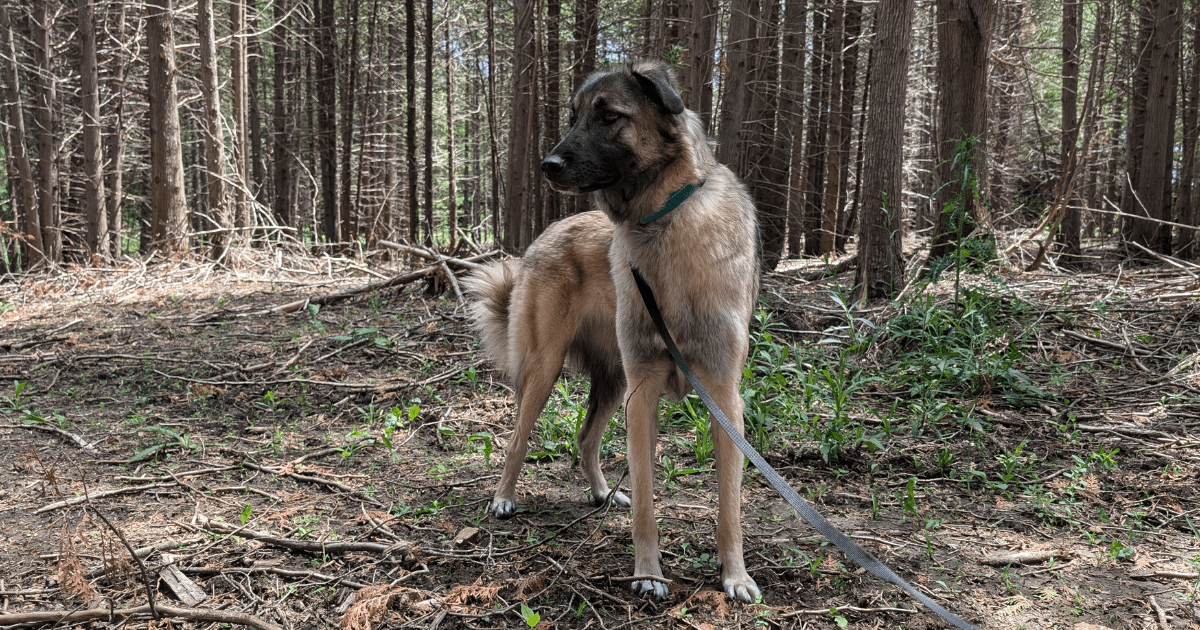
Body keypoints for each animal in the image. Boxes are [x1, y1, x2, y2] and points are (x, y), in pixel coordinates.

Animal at [463, 60, 763, 604]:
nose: (547, 165)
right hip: (546, 369)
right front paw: (648, 573)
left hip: (614, 381)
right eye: (573, 116)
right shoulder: (643, 394)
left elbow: (729, 504)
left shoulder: (724, 398)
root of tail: (544, 235)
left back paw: (602, 493)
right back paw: (503, 498)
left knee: (584, 438)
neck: (662, 221)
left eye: (609, 117)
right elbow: (646, 501)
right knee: (517, 440)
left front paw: (735, 575)